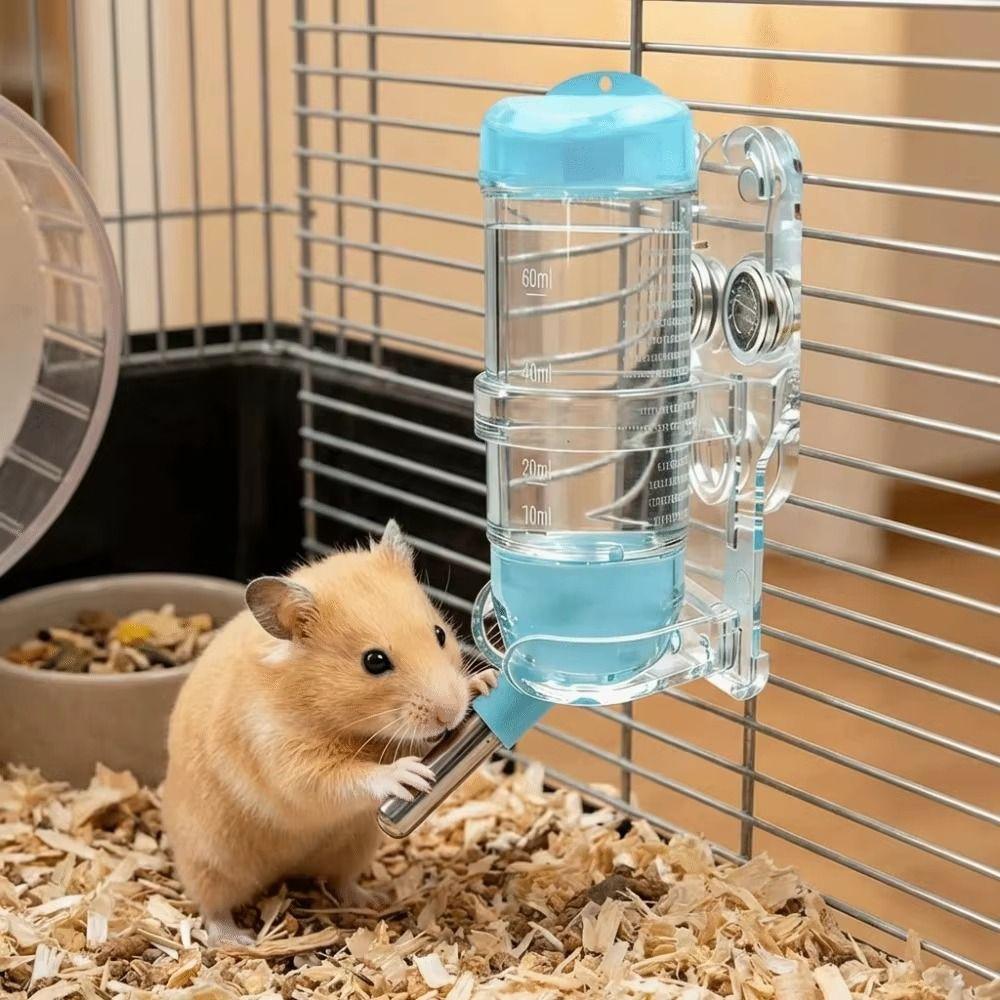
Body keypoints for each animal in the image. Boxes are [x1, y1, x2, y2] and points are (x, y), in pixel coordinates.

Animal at [162, 519, 497, 945]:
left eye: (439, 633)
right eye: (374, 661)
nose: (451, 714)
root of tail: (285, 871)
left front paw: (484, 683)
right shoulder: (287, 758)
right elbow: (342, 777)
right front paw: (408, 776)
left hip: (353, 847)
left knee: (339, 881)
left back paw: (373, 898)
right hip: (210, 860)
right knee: (212, 905)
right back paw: (235, 940)